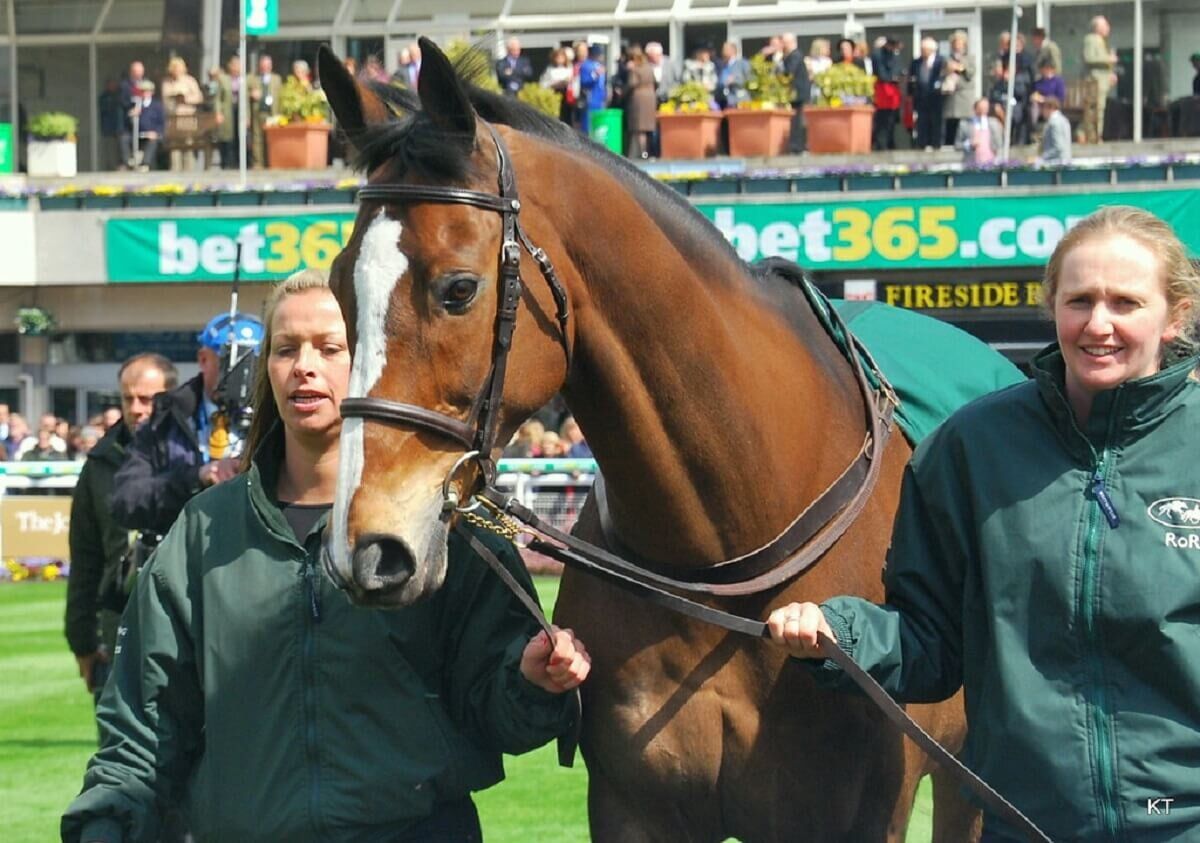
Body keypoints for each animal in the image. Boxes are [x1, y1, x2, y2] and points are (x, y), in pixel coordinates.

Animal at [318, 40, 980, 842]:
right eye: (339, 287)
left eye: (459, 288)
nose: (366, 547)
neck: (725, 562)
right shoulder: (634, 807)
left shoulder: (857, 816)